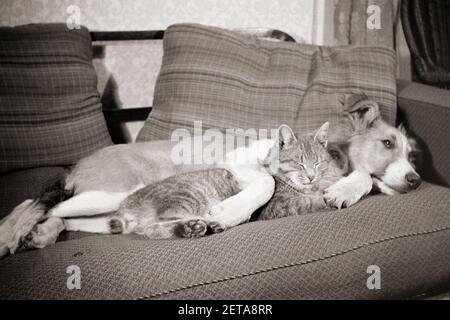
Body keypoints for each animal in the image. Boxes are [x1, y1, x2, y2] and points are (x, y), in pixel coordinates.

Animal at [0, 94, 422, 258]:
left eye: (411, 153)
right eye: (387, 143)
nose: (417, 179)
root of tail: (78, 164)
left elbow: (361, 179)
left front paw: (345, 189)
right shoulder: (242, 162)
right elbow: (267, 182)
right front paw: (229, 213)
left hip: (107, 211)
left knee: (66, 217)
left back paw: (40, 235)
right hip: (109, 191)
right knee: (32, 202)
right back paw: (11, 234)